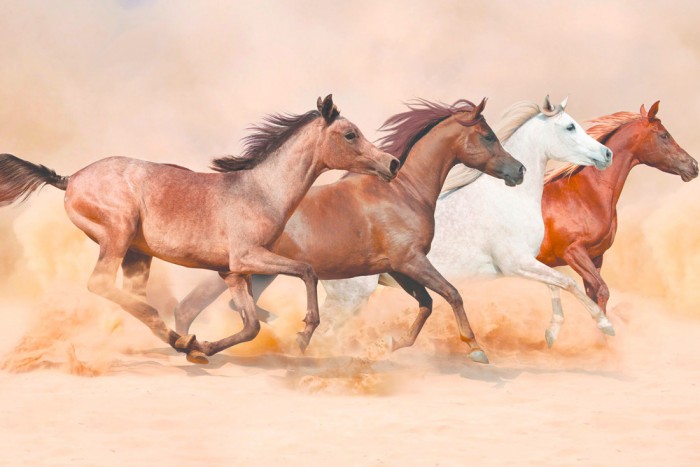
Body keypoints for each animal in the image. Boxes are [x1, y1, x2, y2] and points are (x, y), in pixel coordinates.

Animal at [0, 94, 399, 364]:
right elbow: (307, 271)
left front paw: (203, 348)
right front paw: (303, 335)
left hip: (137, 254)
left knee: (130, 294)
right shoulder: (249, 257)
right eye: (349, 134)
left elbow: (251, 325)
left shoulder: (233, 271)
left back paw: (180, 340)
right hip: (118, 234)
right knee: (101, 284)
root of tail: (69, 179)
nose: (392, 163)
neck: (261, 190)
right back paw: (176, 336)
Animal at [173, 97, 526, 364]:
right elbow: (452, 293)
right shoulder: (411, 261)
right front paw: (476, 348)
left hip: (260, 273)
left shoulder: (397, 267)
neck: (403, 192)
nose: (519, 170)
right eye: (489, 136)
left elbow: (426, 304)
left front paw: (392, 345)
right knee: (189, 309)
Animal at [307, 96, 617, 351]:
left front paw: (554, 333)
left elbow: (558, 285)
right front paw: (605, 325)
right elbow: (569, 283)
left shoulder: (533, 261)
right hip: (350, 297)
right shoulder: (517, 263)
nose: (606, 154)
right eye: (570, 127)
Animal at [538, 101, 698, 344]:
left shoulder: (595, 257)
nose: (694, 166)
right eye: (664, 135)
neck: (585, 194)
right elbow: (602, 290)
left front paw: (603, 340)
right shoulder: (573, 252)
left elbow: (596, 295)